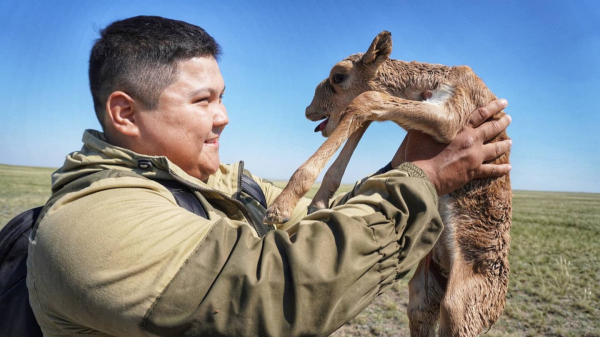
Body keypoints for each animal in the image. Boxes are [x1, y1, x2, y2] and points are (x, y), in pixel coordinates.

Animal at [264, 30, 512, 334]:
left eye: (338, 77)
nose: (310, 111)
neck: (433, 81)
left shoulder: (452, 119)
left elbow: (366, 100)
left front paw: (281, 207)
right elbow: (361, 117)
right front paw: (317, 203)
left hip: (462, 311)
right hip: (424, 292)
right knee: (421, 309)